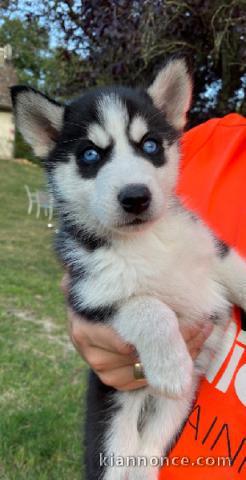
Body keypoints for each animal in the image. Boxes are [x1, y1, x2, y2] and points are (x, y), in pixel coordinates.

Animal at [12, 60, 246, 480]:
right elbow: (149, 307)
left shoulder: (212, 249)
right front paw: (171, 365)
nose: (135, 197)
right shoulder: (92, 296)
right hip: (112, 433)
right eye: (90, 154)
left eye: (150, 145)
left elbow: (239, 271)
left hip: (172, 414)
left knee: (150, 451)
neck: (146, 241)